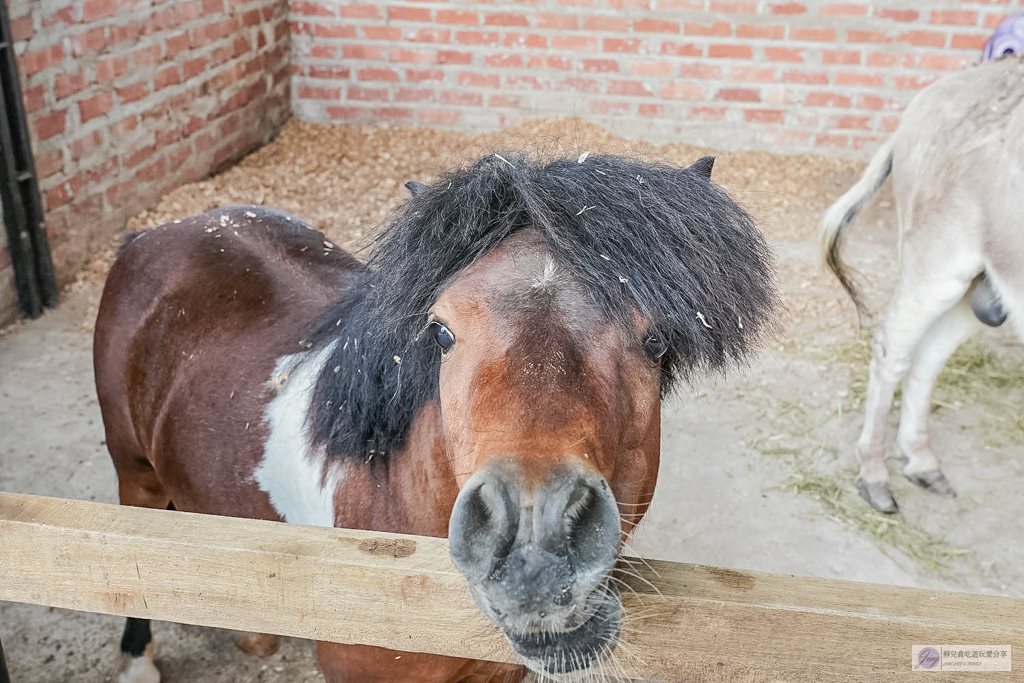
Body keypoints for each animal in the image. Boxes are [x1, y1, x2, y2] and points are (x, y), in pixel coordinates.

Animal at [820, 55, 1024, 514]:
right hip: (939, 264)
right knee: (893, 349)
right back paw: (875, 473)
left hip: (981, 287)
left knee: (928, 357)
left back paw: (921, 461)